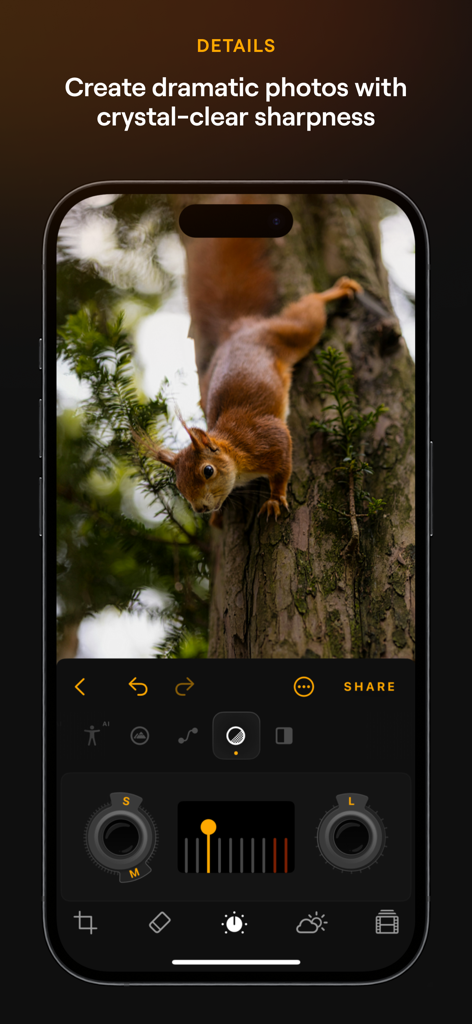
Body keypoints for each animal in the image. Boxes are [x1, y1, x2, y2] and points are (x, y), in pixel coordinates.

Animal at [145, 232, 362, 526]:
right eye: (178, 484)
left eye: (208, 471)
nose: (200, 509)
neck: (234, 448)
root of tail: (238, 328)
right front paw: (218, 516)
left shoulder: (268, 439)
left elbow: (283, 467)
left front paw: (274, 498)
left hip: (290, 332)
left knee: (310, 309)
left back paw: (340, 288)